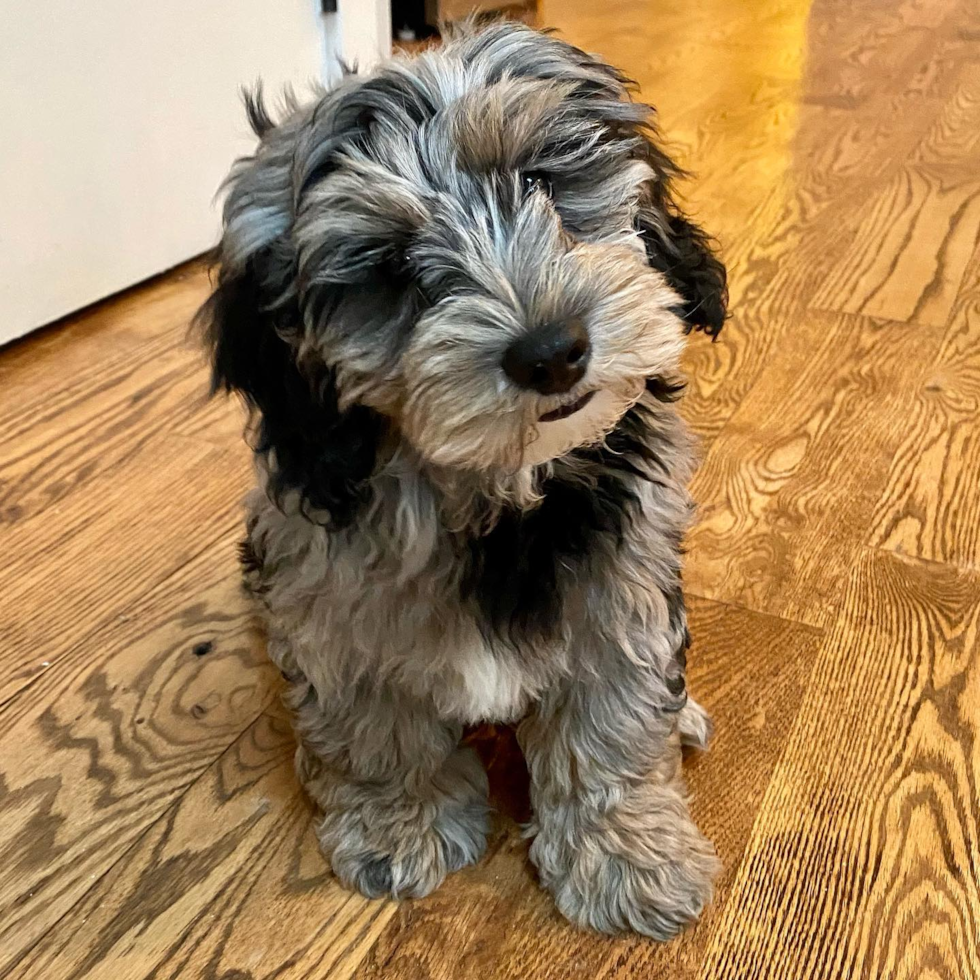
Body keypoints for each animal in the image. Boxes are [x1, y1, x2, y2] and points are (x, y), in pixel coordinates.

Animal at [199, 19, 728, 940]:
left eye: (540, 179)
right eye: (390, 266)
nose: (552, 350)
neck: (494, 487)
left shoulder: (621, 583)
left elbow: (615, 718)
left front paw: (627, 854)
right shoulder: (332, 595)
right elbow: (373, 723)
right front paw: (398, 823)